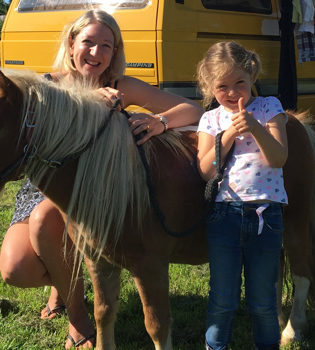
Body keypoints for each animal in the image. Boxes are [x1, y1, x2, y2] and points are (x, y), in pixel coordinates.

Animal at [0, 69, 314, 350]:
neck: (120, 181)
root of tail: (294, 121)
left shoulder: (150, 267)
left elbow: (157, 325)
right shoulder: (99, 263)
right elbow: (104, 315)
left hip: (296, 226)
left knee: (301, 275)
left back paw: (291, 331)